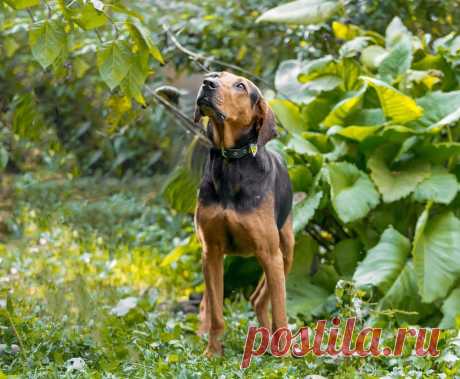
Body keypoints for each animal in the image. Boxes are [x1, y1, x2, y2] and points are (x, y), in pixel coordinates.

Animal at [193, 70, 294, 356]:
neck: (231, 162)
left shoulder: (270, 253)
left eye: (240, 86)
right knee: (216, 302)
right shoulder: (211, 252)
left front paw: (285, 357)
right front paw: (212, 352)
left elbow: (280, 310)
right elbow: (217, 313)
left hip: (286, 251)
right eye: (215, 75)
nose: (207, 83)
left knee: (261, 299)